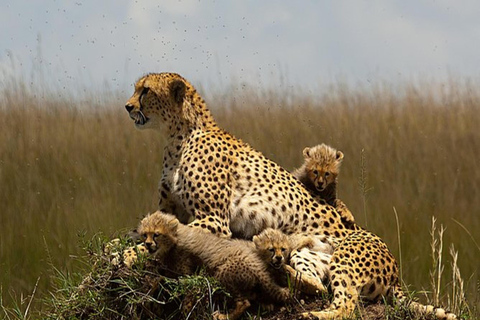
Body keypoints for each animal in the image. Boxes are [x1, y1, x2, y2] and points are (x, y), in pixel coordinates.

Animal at [137, 210, 290, 320]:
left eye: (156, 234)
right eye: (145, 235)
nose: (148, 244)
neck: (175, 239)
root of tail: (256, 264)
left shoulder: (188, 274)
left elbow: (188, 294)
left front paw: (186, 311)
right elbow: (160, 279)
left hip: (223, 274)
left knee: (244, 302)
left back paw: (224, 316)